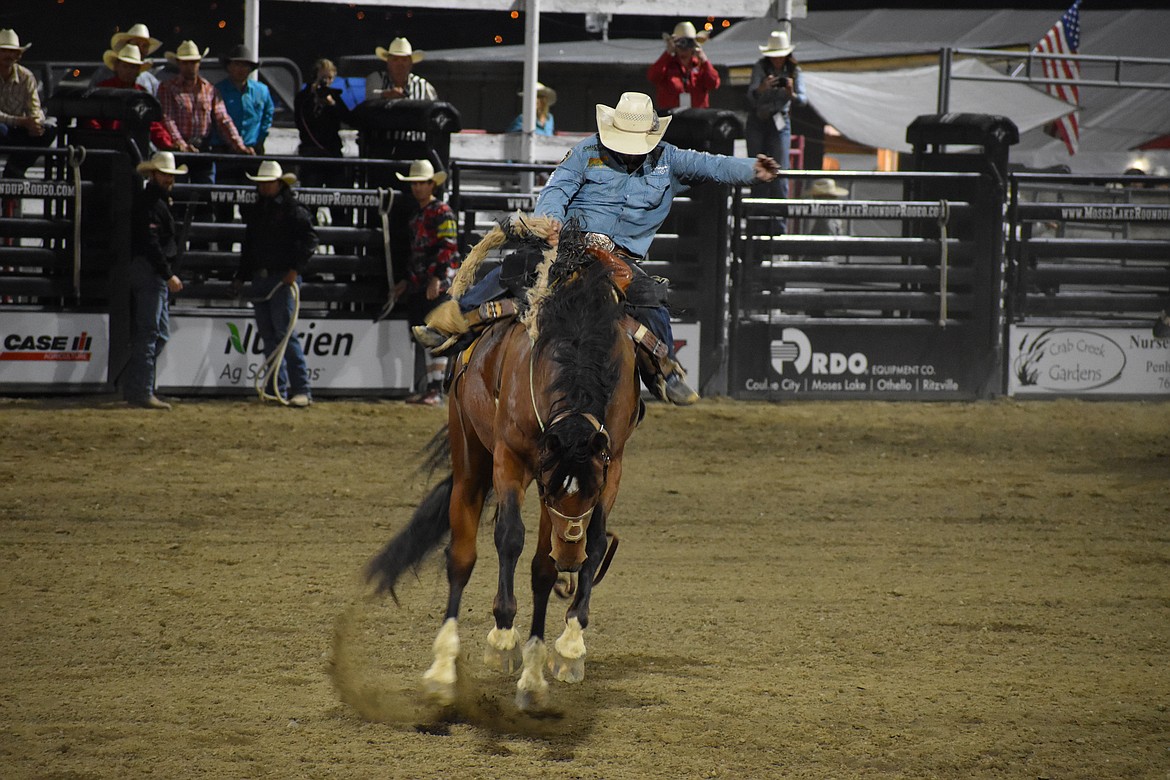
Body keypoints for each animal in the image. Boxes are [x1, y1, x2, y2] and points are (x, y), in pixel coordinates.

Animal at [365, 216, 641, 711]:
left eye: (588, 491)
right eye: (554, 489)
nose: (569, 558)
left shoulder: (610, 465)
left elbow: (578, 549)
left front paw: (564, 651)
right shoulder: (514, 460)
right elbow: (510, 538)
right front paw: (503, 639)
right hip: (470, 456)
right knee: (462, 555)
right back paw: (443, 665)